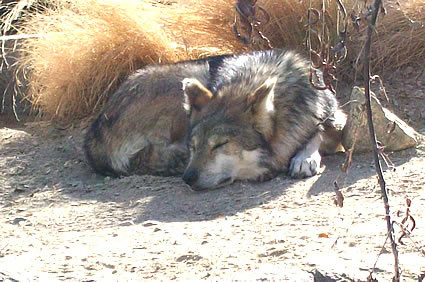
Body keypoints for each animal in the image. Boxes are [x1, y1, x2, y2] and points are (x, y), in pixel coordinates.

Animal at [84, 49, 346, 191]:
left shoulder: (335, 115)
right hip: (192, 76)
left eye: (220, 145)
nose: (188, 178)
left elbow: (320, 131)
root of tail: (93, 137)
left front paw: (305, 157)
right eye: (193, 146)